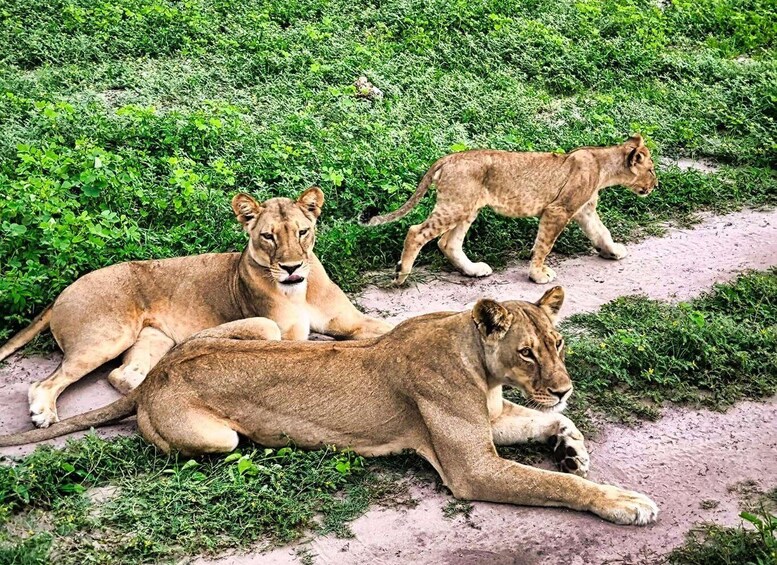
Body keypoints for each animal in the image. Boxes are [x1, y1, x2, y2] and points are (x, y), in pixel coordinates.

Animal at [0, 187, 392, 429]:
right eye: (268, 236)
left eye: (302, 232)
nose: (292, 267)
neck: (302, 289)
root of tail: (62, 293)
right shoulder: (287, 338)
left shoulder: (351, 321)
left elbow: (386, 329)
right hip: (105, 338)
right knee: (44, 383)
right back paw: (43, 413)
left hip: (154, 339)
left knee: (123, 375)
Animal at [0, 287, 658, 526]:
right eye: (526, 352)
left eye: (558, 344)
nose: (564, 384)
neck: (480, 364)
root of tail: (159, 372)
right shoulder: (471, 468)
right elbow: (558, 486)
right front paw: (627, 501)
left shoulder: (493, 421)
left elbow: (547, 423)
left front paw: (569, 444)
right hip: (217, 436)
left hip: (265, 328)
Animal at [362, 134, 657, 285]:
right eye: (652, 169)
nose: (657, 184)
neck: (602, 164)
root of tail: (449, 157)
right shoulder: (558, 210)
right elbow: (544, 245)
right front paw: (538, 275)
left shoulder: (584, 210)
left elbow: (601, 232)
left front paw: (613, 251)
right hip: (456, 205)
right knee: (417, 232)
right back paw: (401, 275)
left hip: (467, 208)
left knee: (448, 243)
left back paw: (473, 270)